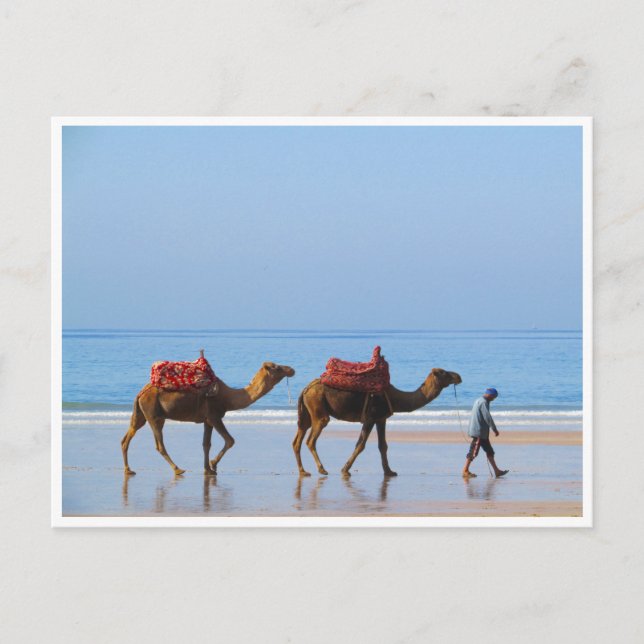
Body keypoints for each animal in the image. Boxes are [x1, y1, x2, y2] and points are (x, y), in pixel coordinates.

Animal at [121, 361, 295, 476]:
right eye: (277, 367)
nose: (292, 369)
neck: (228, 397)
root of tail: (141, 393)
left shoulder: (207, 421)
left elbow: (206, 444)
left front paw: (208, 469)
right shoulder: (215, 416)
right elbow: (230, 440)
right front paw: (213, 465)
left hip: (141, 414)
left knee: (127, 437)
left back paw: (129, 470)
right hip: (154, 415)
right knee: (159, 444)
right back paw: (178, 469)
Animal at [293, 368, 462, 477]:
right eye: (444, 372)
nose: (459, 376)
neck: (394, 397)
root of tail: (305, 389)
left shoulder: (381, 418)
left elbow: (383, 446)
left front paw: (389, 471)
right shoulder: (370, 417)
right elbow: (360, 445)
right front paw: (345, 469)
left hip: (307, 412)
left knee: (298, 439)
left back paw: (303, 471)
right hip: (318, 408)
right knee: (311, 439)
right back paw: (322, 469)